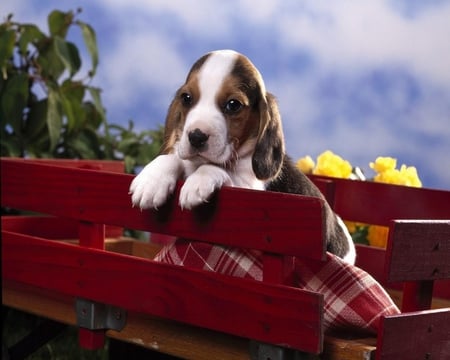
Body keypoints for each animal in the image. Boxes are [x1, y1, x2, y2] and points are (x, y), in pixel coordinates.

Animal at [129, 49, 356, 264]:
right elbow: (172, 158)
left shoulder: (248, 189)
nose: (196, 136)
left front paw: (197, 182)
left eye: (233, 104)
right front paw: (151, 181)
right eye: (186, 98)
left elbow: (219, 170)